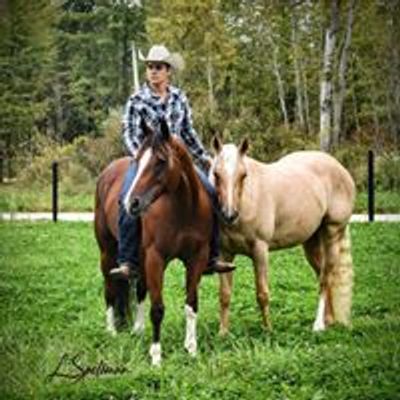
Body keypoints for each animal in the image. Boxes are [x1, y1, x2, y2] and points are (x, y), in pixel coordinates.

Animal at [94, 119, 212, 366]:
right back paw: (111, 330)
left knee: (140, 289)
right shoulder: (156, 258)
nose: (132, 203)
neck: (182, 209)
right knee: (110, 289)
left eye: (161, 161)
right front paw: (156, 357)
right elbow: (157, 308)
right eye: (138, 160)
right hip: (107, 252)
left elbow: (191, 304)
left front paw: (191, 349)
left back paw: (138, 329)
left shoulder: (196, 259)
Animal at [211, 138, 354, 334]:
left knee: (326, 278)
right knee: (322, 275)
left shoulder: (260, 251)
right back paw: (329, 321)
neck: (248, 200)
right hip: (311, 243)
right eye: (216, 174)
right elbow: (224, 295)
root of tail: (339, 168)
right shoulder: (225, 254)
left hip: (333, 233)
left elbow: (262, 293)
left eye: (243, 175)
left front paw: (268, 330)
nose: (229, 214)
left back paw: (318, 325)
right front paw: (223, 333)